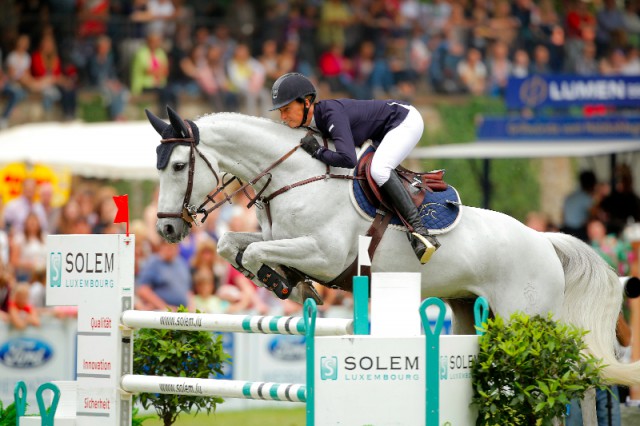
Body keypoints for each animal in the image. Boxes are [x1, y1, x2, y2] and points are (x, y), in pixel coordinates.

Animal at [148, 106, 636, 386]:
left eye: (178, 166)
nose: (167, 230)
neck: (293, 178)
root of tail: (544, 240)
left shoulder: (324, 254)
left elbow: (254, 254)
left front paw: (286, 282)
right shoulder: (279, 238)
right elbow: (232, 244)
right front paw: (288, 282)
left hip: (526, 319)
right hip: (467, 310)